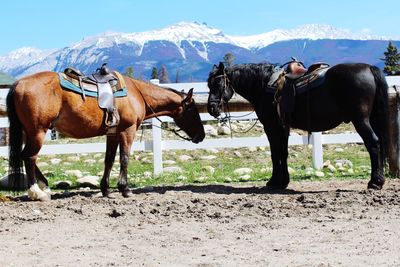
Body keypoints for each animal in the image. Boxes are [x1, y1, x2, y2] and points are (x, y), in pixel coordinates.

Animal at [7, 71, 205, 201]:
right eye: (192, 110)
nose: (201, 136)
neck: (136, 94)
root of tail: (18, 84)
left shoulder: (113, 134)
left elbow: (109, 160)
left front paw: (106, 189)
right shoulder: (127, 131)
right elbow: (124, 158)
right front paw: (125, 189)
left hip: (28, 132)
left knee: (26, 156)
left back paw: (44, 187)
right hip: (38, 131)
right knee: (29, 157)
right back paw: (37, 192)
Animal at [208, 61, 390, 189]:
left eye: (218, 84)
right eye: (209, 85)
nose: (211, 108)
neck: (264, 84)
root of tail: (369, 68)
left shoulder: (272, 127)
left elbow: (275, 153)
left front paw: (273, 181)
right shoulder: (283, 127)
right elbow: (283, 153)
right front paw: (283, 181)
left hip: (361, 120)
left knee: (374, 143)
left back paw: (375, 182)